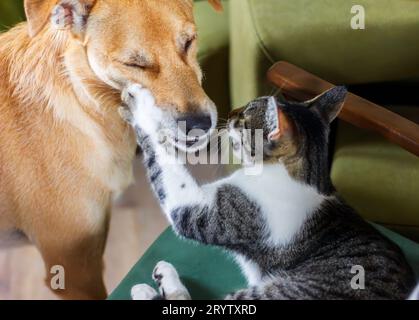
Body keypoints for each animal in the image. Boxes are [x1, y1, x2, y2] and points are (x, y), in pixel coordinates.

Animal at [120, 83, 416, 300]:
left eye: (245, 115)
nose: (231, 110)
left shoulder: (203, 211)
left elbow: (165, 166)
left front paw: (140, 108)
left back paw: (151, 285)